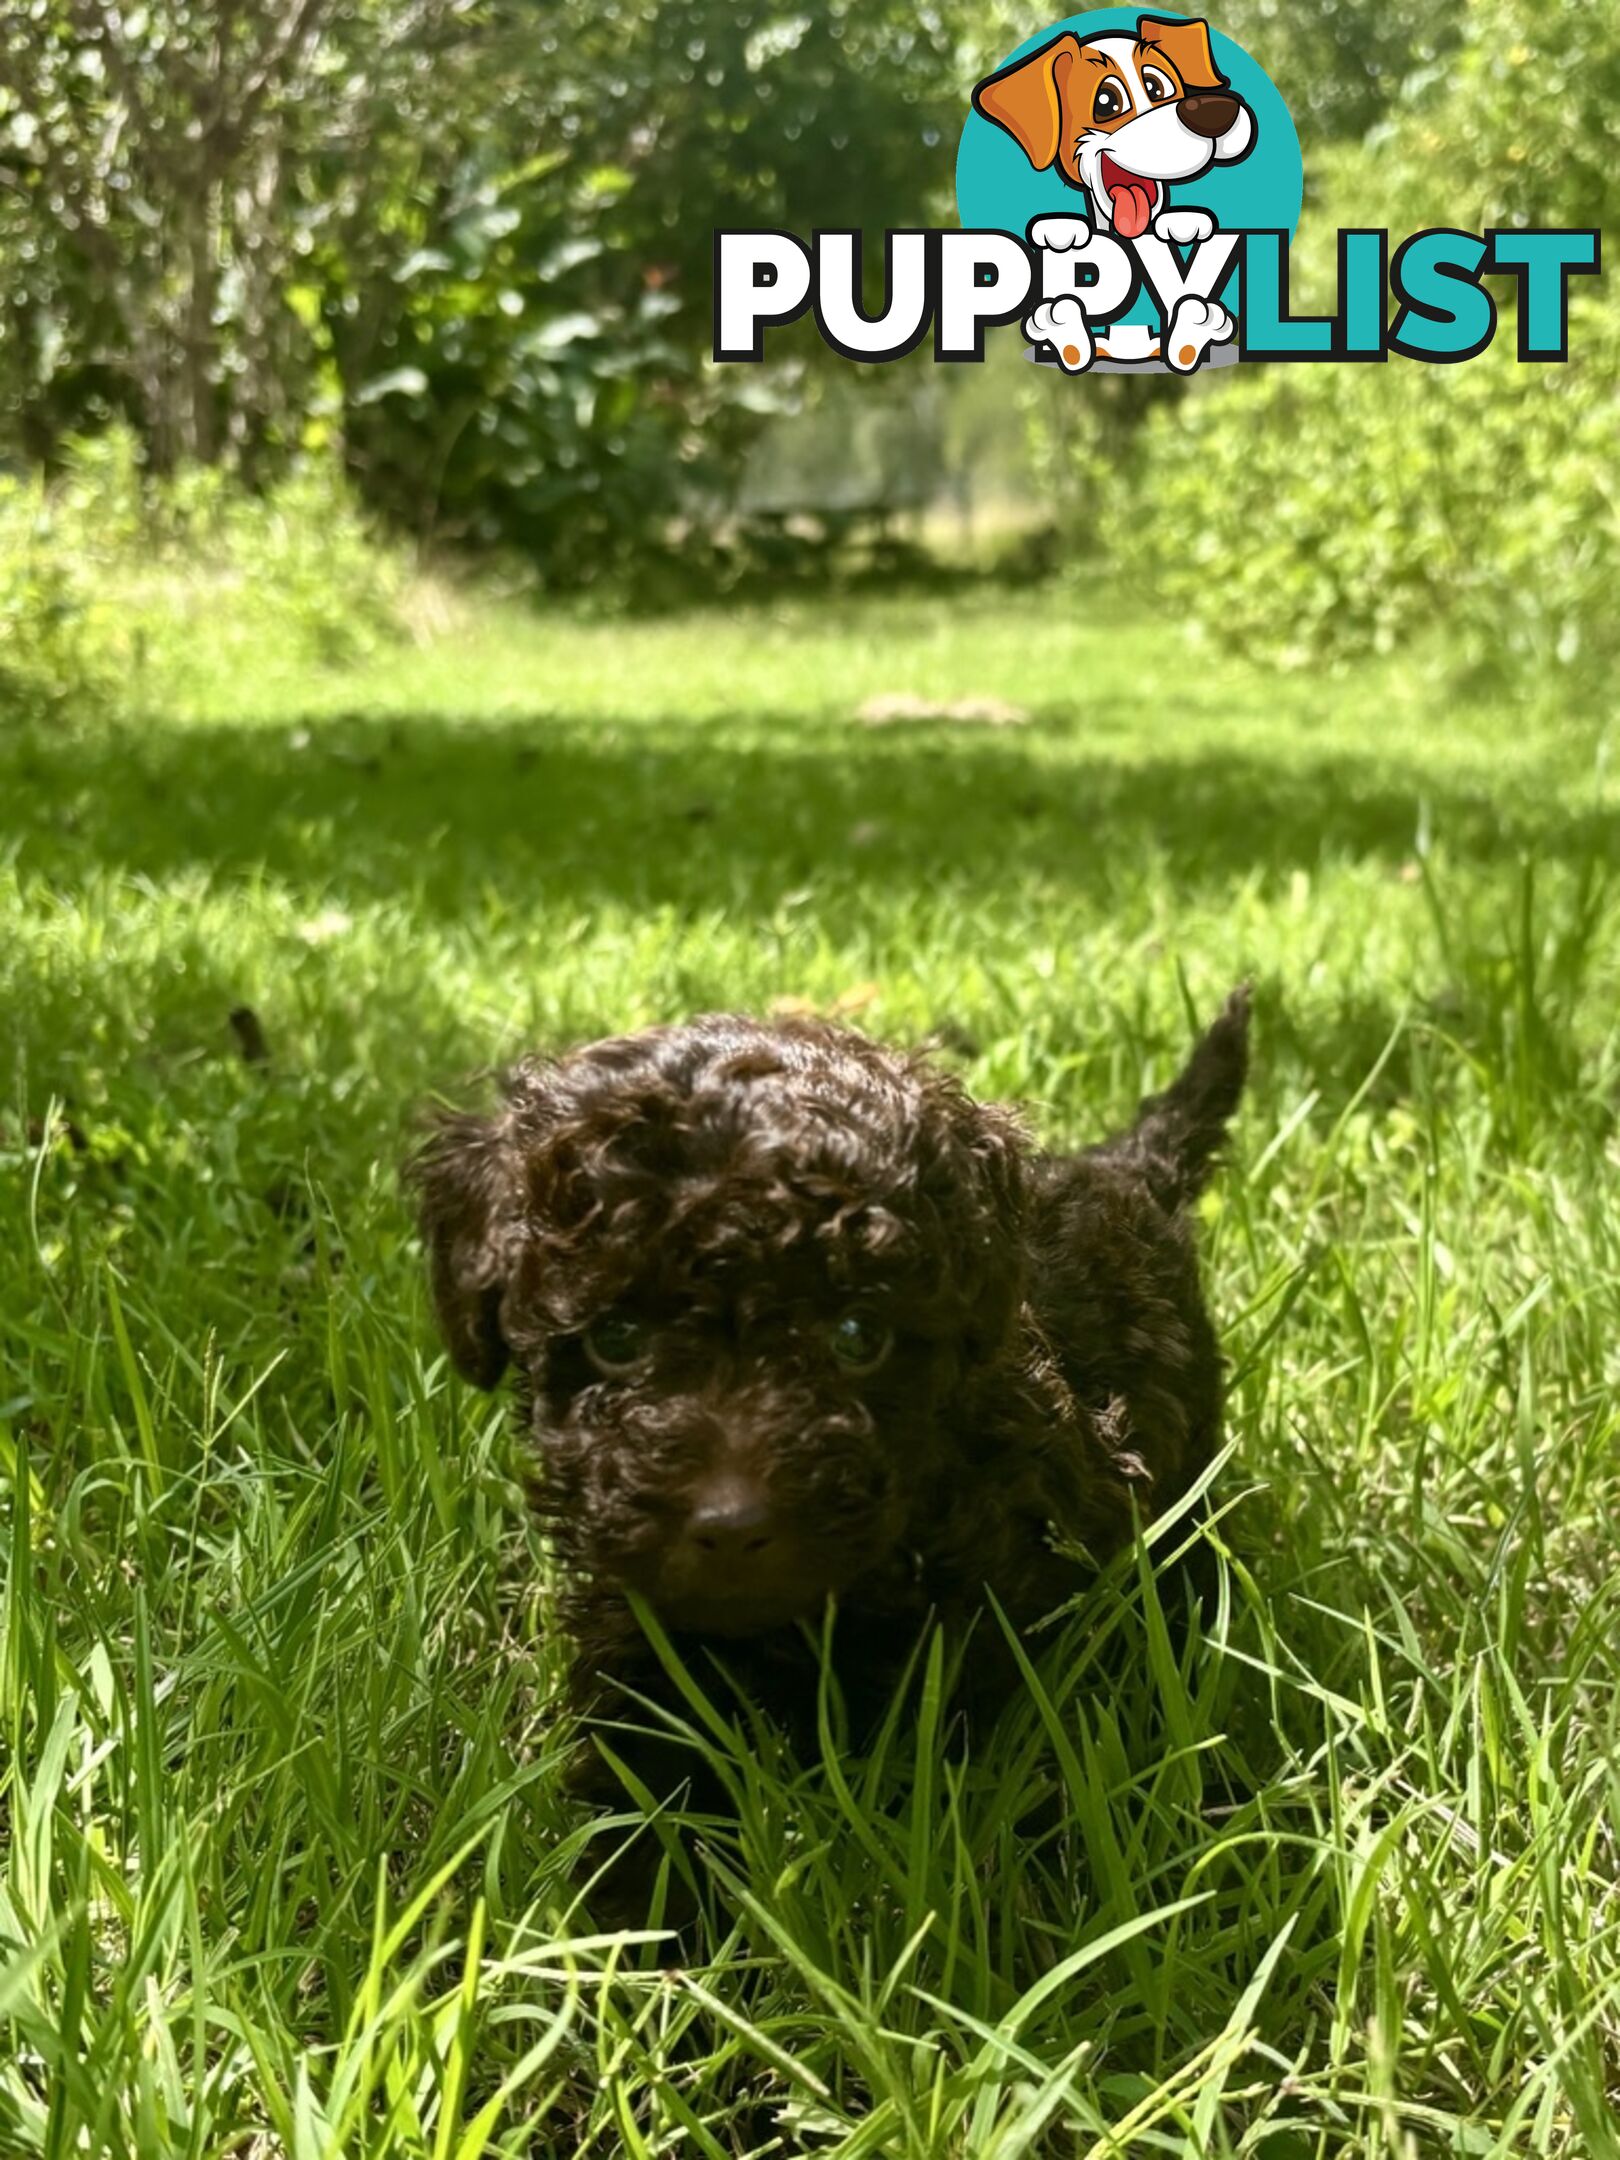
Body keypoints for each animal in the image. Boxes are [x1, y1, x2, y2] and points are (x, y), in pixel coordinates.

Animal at [412, 989, 1252, 1900]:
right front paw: (634, 1921)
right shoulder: (637, 1627)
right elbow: (643, 1786)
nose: (731, 1525)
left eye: (857, 1335)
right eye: (617, 1337)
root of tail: (1125, 1170)